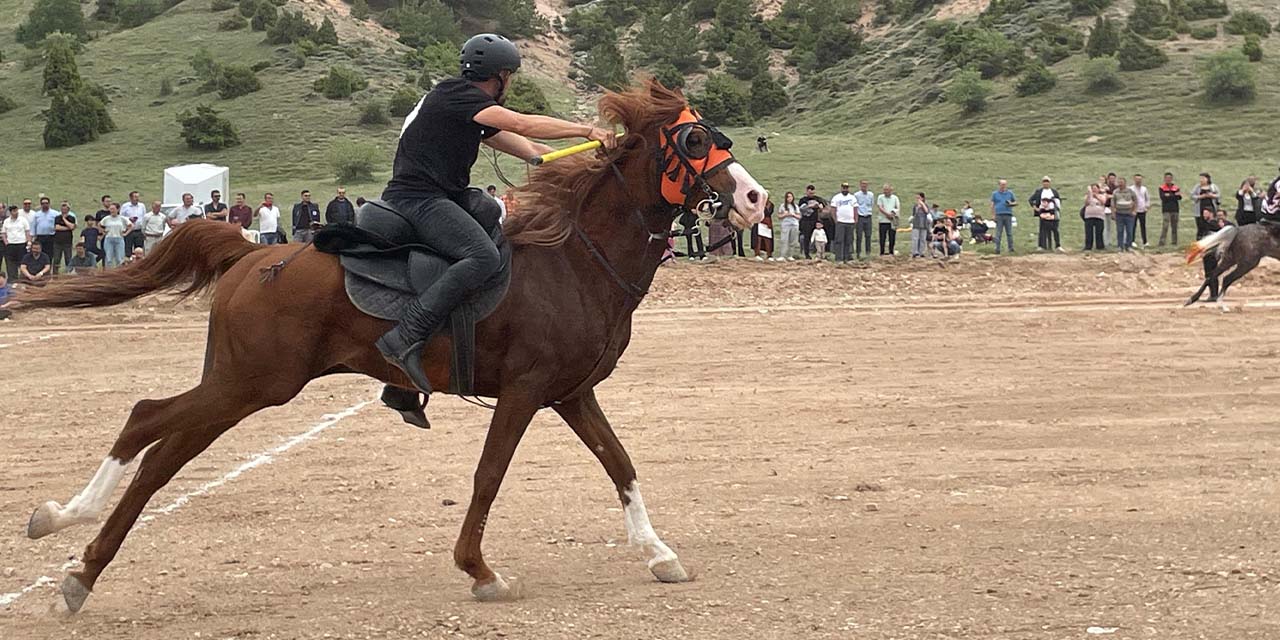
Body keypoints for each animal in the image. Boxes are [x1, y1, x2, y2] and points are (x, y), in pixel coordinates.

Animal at [20, 77, 762, 611]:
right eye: (695, 137)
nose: (754, 199)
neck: (575, 258)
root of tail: (250, 253)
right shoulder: (524, 393)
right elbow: (489, 476)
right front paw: (478, 569)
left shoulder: (571, 394)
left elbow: (620, 465)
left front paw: (659, 553)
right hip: (252, 384)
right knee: (148, 422)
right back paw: (70, 533)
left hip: (238, 385)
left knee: (161, 448)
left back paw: (78, 559)